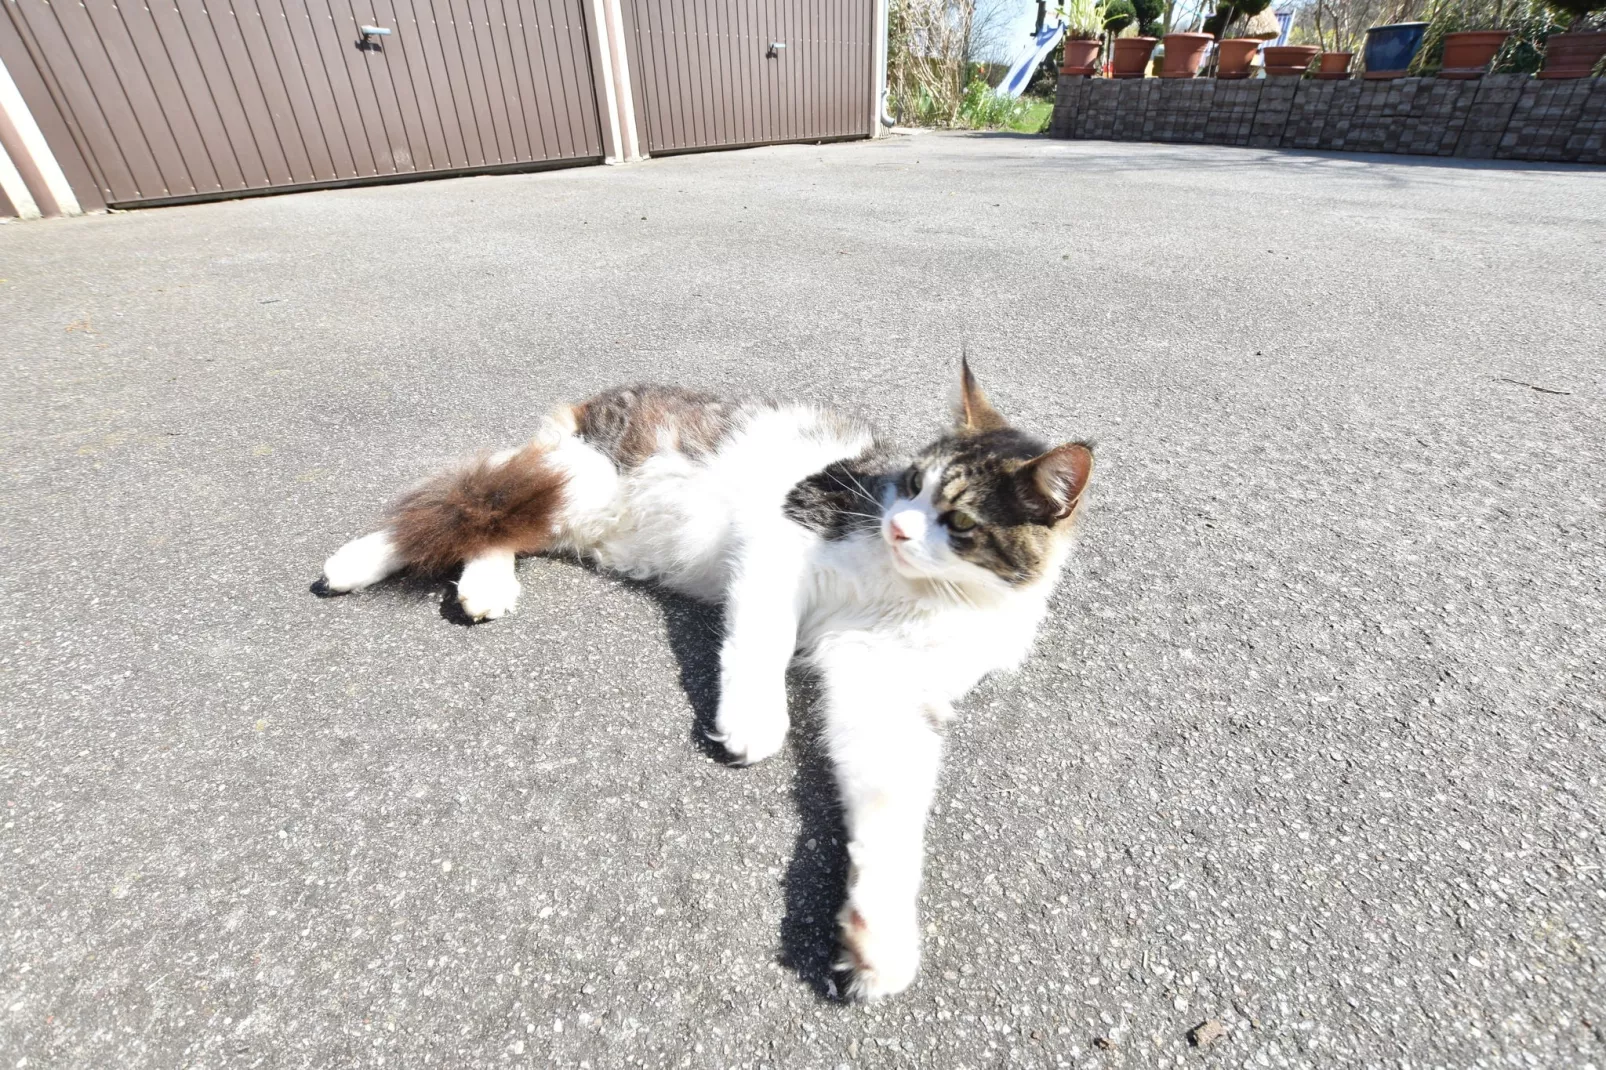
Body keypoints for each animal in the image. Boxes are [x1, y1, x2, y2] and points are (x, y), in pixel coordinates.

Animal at [313, 363, 1092, 996]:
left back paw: (484, 585)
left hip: (581, 511)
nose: (898, 526)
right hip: (579, 481)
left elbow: (892, 815)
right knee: (471, 506)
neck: (920, 591)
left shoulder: (888, 689)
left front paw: (879, 938)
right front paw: (754, 720)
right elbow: (761, 646)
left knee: (492, 527)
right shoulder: (783, 544)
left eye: (956, 520)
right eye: (910, 486)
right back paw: (357, 562)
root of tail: (603, 394)